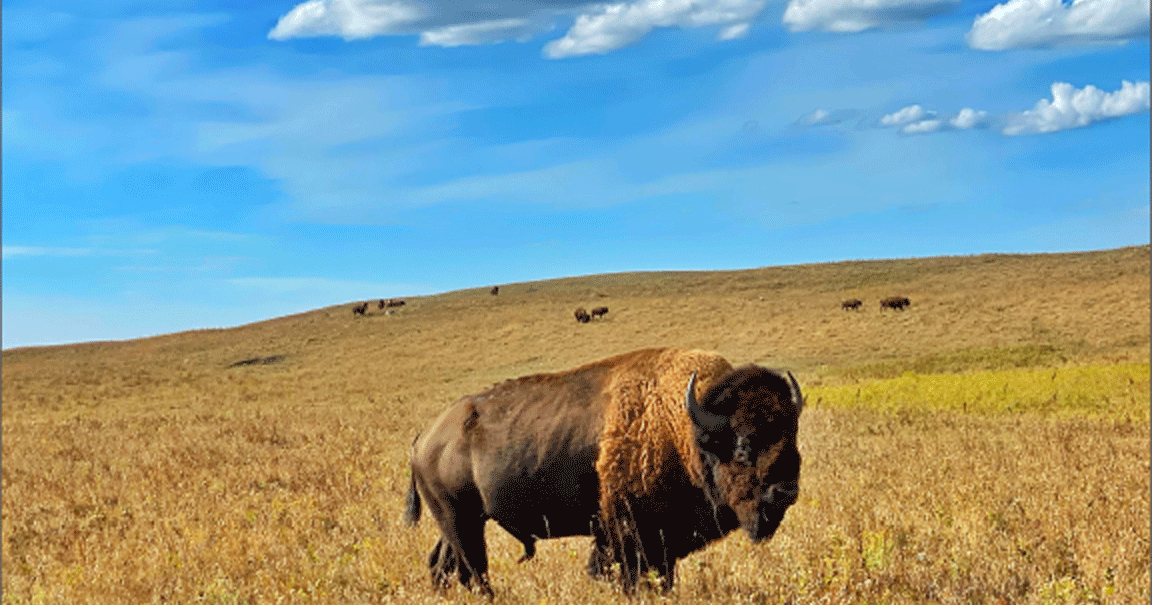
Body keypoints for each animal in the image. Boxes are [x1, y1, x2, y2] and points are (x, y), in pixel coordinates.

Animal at [404, 348, 803, 597]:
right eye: (743, 445)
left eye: (793, 435)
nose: (786, 492)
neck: (684, 428)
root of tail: (425, 436)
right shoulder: (630, 535)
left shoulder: (661, 542)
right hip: (459, 520)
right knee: (472, 570)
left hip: (462, 521)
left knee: (444, 564)